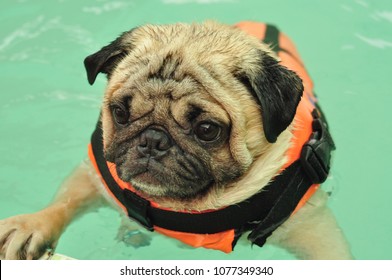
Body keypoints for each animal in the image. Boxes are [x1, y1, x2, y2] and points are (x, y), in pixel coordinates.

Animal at [0, 20, 352, 260]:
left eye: (207, 130)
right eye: (120, 113)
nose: (153, 140)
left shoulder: (310, 225)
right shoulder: (94, 176)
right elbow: (66, 201)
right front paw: (32, 225)